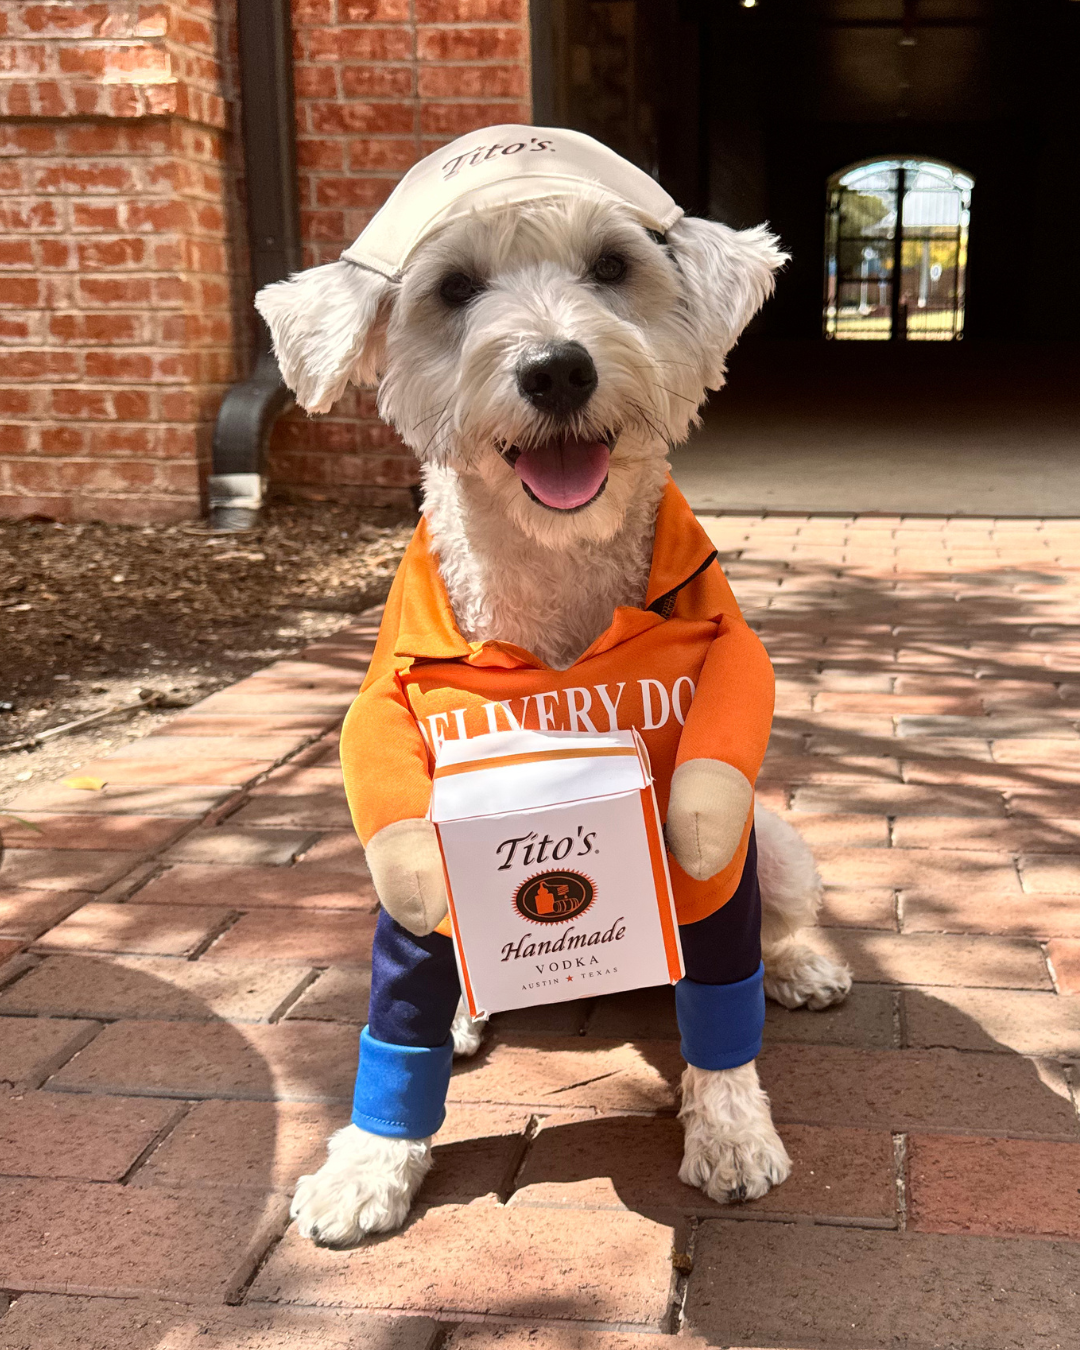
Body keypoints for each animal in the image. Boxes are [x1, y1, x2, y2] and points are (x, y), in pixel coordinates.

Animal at [257, 124, 847, 1242]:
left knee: (784, 917)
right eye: (453, 288)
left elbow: (723, 1009)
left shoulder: (706, 832)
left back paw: (800, 966)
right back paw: (467, 1008)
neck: (558, 604)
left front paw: (731, 1132)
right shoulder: (413, 839)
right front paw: (368, 1167)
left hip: (776, 840)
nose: (557, 369)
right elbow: (395, 1017)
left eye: (613, 267)